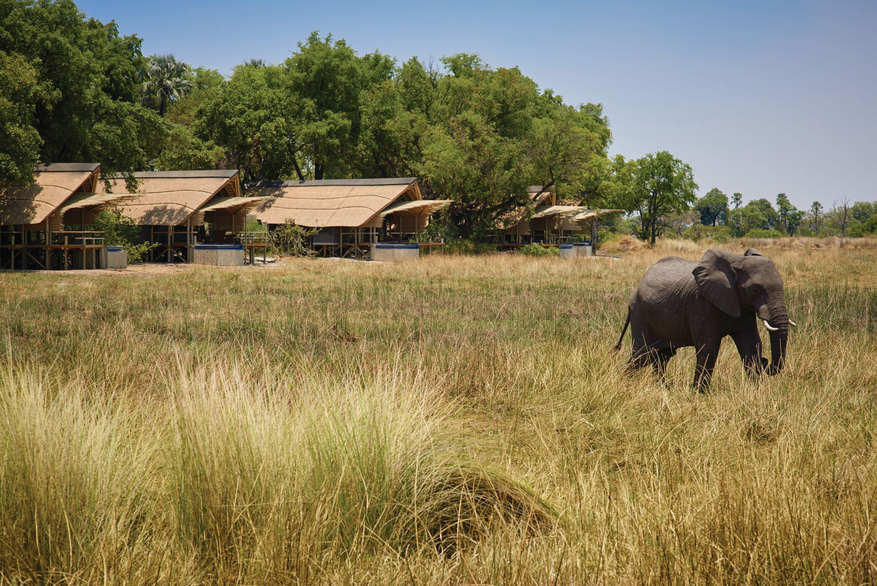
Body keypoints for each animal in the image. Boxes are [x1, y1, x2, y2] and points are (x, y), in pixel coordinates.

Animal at [616, 246, 792, 388]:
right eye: (755, 290)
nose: (765, 361)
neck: (736, 261)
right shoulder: (701, 304)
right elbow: (708, 346)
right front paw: (699, 393)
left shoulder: (743, 307)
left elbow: (750, 343)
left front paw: (756, 390)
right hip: (641, 314)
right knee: (642, 355)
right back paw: (624, 383)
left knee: (662, 356)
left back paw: (662, 389)